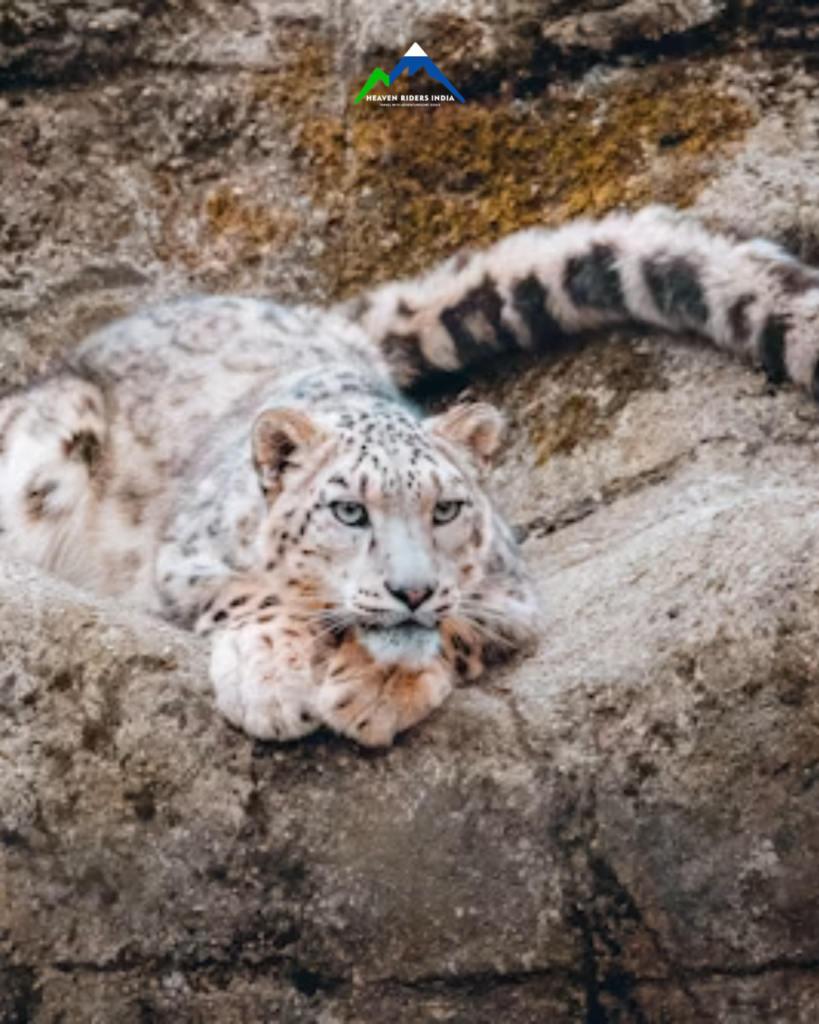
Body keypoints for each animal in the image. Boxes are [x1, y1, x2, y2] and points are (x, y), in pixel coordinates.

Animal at [2, 206, 818, 747]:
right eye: (348, 512)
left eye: (447, 509)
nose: (411, 589)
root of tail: (324, 321)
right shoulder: (181, 566)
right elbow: (267, 596)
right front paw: (271, 684)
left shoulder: (514, 599)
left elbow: (456, 630)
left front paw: (375, 690)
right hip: (46, 449)